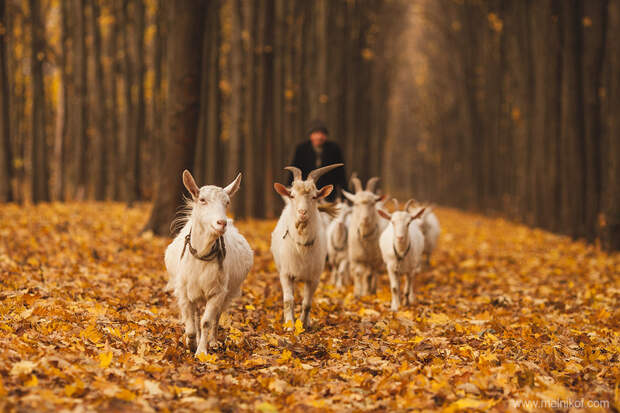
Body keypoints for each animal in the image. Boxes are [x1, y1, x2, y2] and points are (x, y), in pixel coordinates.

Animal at [165, 169, 254, 356]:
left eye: (227, 202)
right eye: (202, 200)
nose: (222, 222)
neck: (201, 256)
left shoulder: (217, 292)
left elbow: (206, 321)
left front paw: (201, 351)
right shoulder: (184, 292)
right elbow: (191, 324)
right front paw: (191, 343)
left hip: (227, 293)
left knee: (216, 316)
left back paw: (212, 341)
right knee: (197, 315)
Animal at [270, 163, 344, 328]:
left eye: (314, 196)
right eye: (292, 195)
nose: (302, 212)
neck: (301, 246)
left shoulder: (314, 277)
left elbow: (307, 303)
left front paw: (303, 324)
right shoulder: (285, 273)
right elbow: (288, 300)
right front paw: (289, 325)